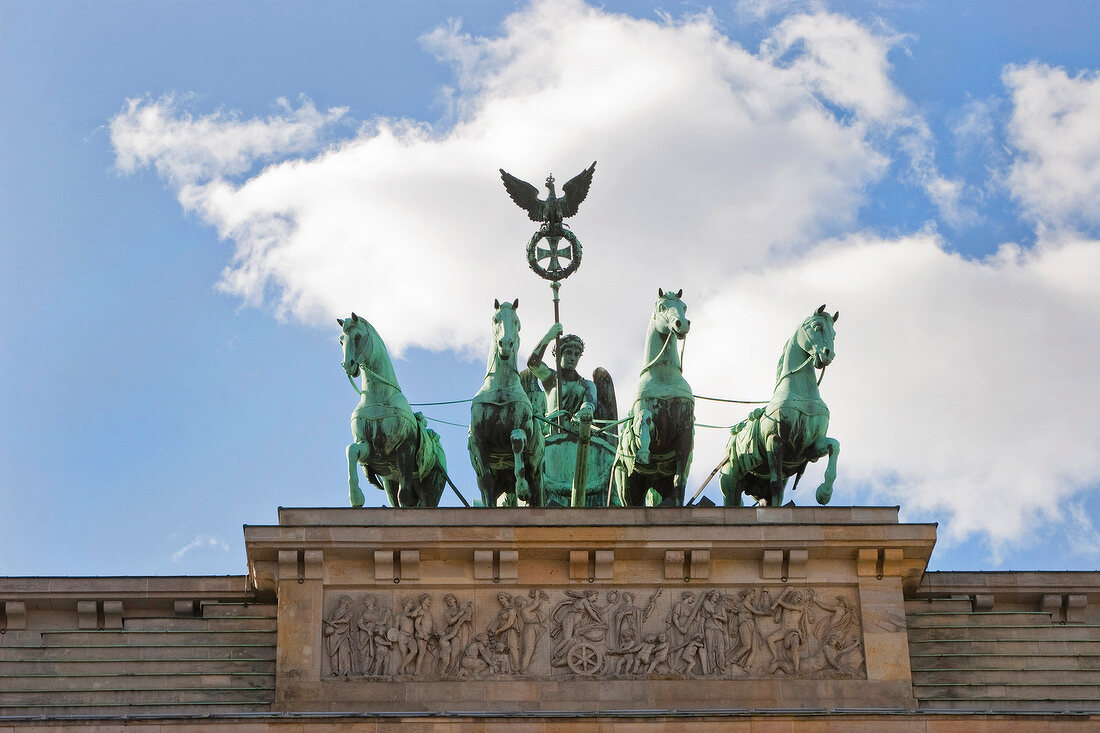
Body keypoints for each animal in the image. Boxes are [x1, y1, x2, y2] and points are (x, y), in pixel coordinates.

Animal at [341, 310, 448, 506]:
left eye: (358, 336)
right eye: (341, 340)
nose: (347, 365)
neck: (378, 397)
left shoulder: (405, 448)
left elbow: (403, 495)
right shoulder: (369, 448)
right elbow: (351, 450)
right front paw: (356, 497)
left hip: (432, 486)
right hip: (390, 482)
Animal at [468, 299, 545, 506]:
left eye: (517, 322)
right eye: (495, 319)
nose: (505, 344)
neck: (500, 388)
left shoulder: (523, 429)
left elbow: (516, 440)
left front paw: (522, 488)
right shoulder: (479, 441)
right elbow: (486, 480)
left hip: (537, 475)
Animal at [611, 288, 695, 506]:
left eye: (684, 307)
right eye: (662, 306)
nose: (681, 324)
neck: (664, 376)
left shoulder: (685, 430)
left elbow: (680, 481)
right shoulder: (644, 415)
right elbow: (644, 419)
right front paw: (643, 453)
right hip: (627, 486)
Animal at [721, 305, 840, 506]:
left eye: (834, 334)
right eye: (817, 327)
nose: (828, 354)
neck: (800, 393)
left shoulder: (810, 447)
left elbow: (835, 446)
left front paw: (824, 493)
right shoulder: (774, 441)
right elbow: (775, 485)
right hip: (730, 481)